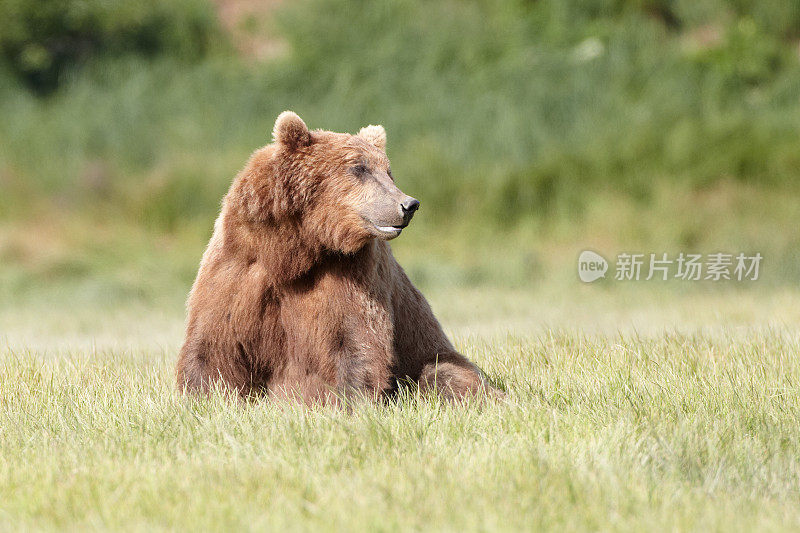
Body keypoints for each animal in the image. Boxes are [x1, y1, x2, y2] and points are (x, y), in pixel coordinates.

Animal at [178, 111, 496, 404]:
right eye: (359, 168)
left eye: (388, 171)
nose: (408, 204)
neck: (294, 252)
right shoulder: (239, 265)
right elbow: (213, 344)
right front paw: (200, 397)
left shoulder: (349, 271)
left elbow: (352, 339)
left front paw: (349, 401)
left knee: (446, 375)